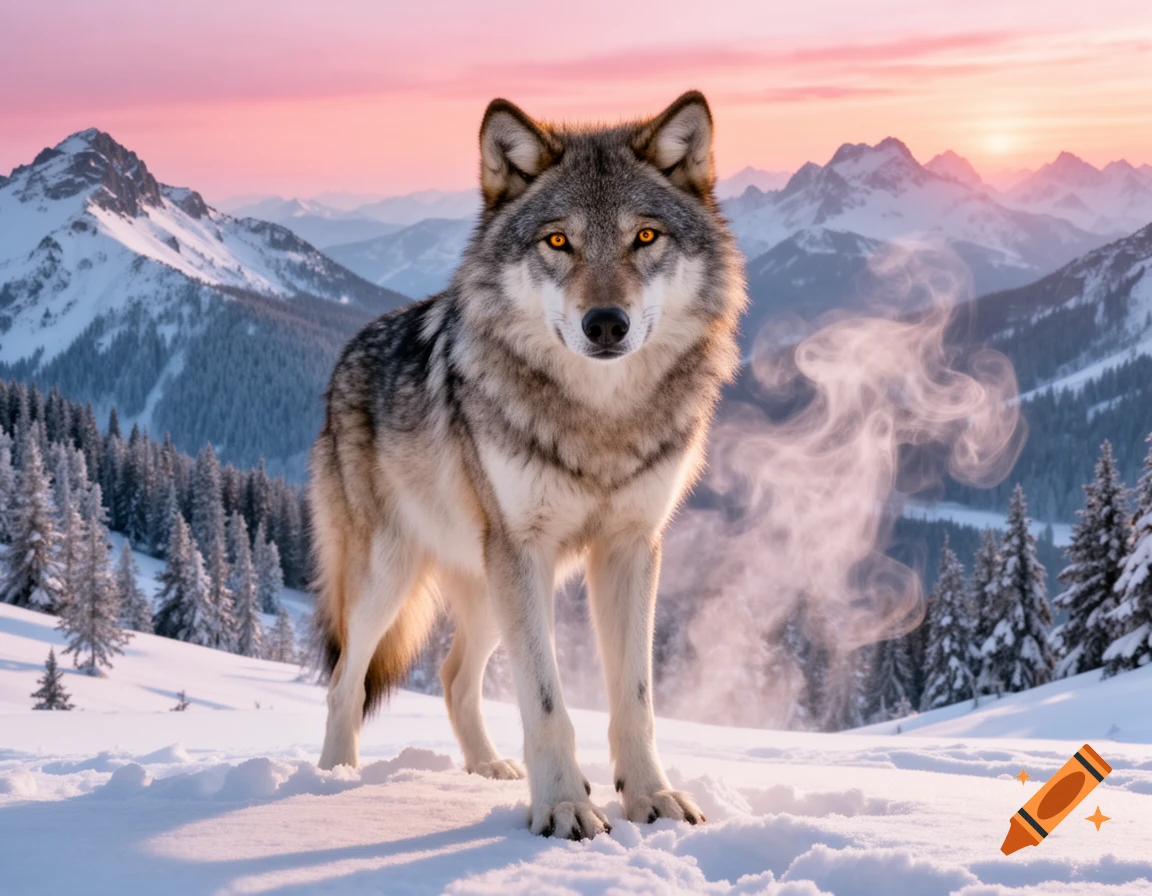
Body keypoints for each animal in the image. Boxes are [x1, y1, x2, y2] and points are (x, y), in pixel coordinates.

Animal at [310, 90, 746, 839]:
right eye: (558, 242)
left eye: (645, 238)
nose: (606, 323)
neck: (601, 419)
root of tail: (346, 355)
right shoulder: (524, 550)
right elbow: (545, 703)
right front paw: (565, 807)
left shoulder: (630, 548)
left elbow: (635, 699)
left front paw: (650, 798)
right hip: (393, 577)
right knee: (345, 682)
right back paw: (333, 783)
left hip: (488, 589)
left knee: (453, 677)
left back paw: (487, 770)